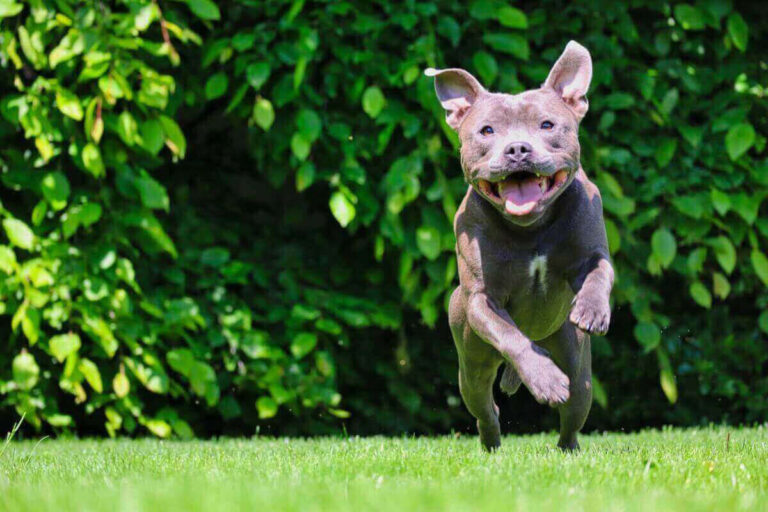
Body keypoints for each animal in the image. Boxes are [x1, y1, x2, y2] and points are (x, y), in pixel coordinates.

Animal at [424, 43, 616, 452]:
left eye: (546, 125)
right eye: (487, 130)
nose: (516, 149)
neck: (531, 228)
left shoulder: (593, 252)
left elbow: (598, 273)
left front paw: (591, 310)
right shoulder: (481, 300)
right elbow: (511, 335)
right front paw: (545, 379)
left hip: (578, 368)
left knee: (573, 413)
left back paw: (568, 452)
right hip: (472, 366)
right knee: (486, 409)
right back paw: (493, 445)